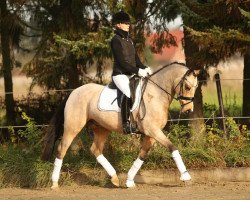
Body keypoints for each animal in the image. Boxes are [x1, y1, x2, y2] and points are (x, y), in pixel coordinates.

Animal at [42, 62, 200, 189]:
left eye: (196, 86)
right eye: (187, 86)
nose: (188, 110)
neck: (156, 94)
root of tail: (73, 92)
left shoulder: (151, 134)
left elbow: (142, 155)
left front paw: (129, 180)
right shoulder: (153, 130)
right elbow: (173, 148)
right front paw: (186, 176)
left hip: (101, 128)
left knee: (95, 150)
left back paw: (115, 178)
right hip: (72, 127)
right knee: (62, 149)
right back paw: (54, 183)